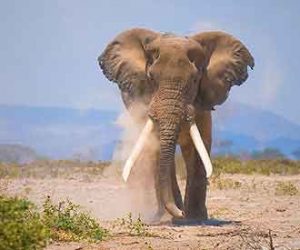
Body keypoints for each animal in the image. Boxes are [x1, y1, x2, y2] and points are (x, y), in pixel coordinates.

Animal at [97, 27, 254, 223]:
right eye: (151, 78)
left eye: (195, 80)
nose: (181, 213)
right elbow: (157, 149)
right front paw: (168, 218)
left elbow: (198, 148)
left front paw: (195, 219)